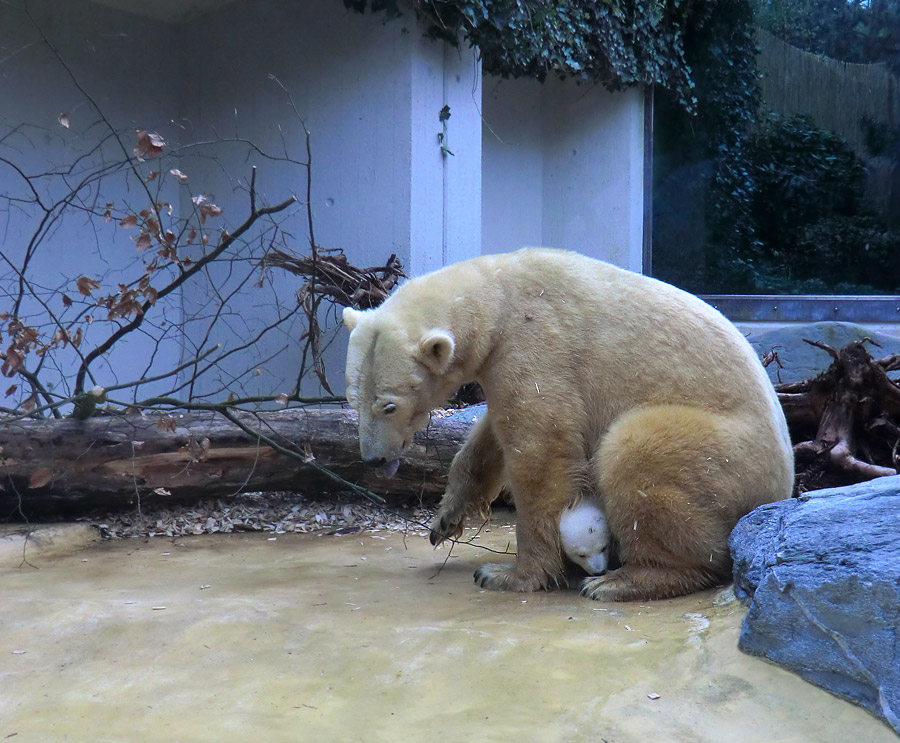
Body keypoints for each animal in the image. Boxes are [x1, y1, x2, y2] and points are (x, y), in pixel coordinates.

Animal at [344, 247, 796, 600]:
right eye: (353, 399)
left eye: (388, 406)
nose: (373, 459)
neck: (497, 296)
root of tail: (780, 487)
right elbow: (493, 435)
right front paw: (444, 520)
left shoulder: (536, 342)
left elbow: (540, 450)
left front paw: (507, 574)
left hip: (727, 456)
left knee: (637, 450)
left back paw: (624, 580)